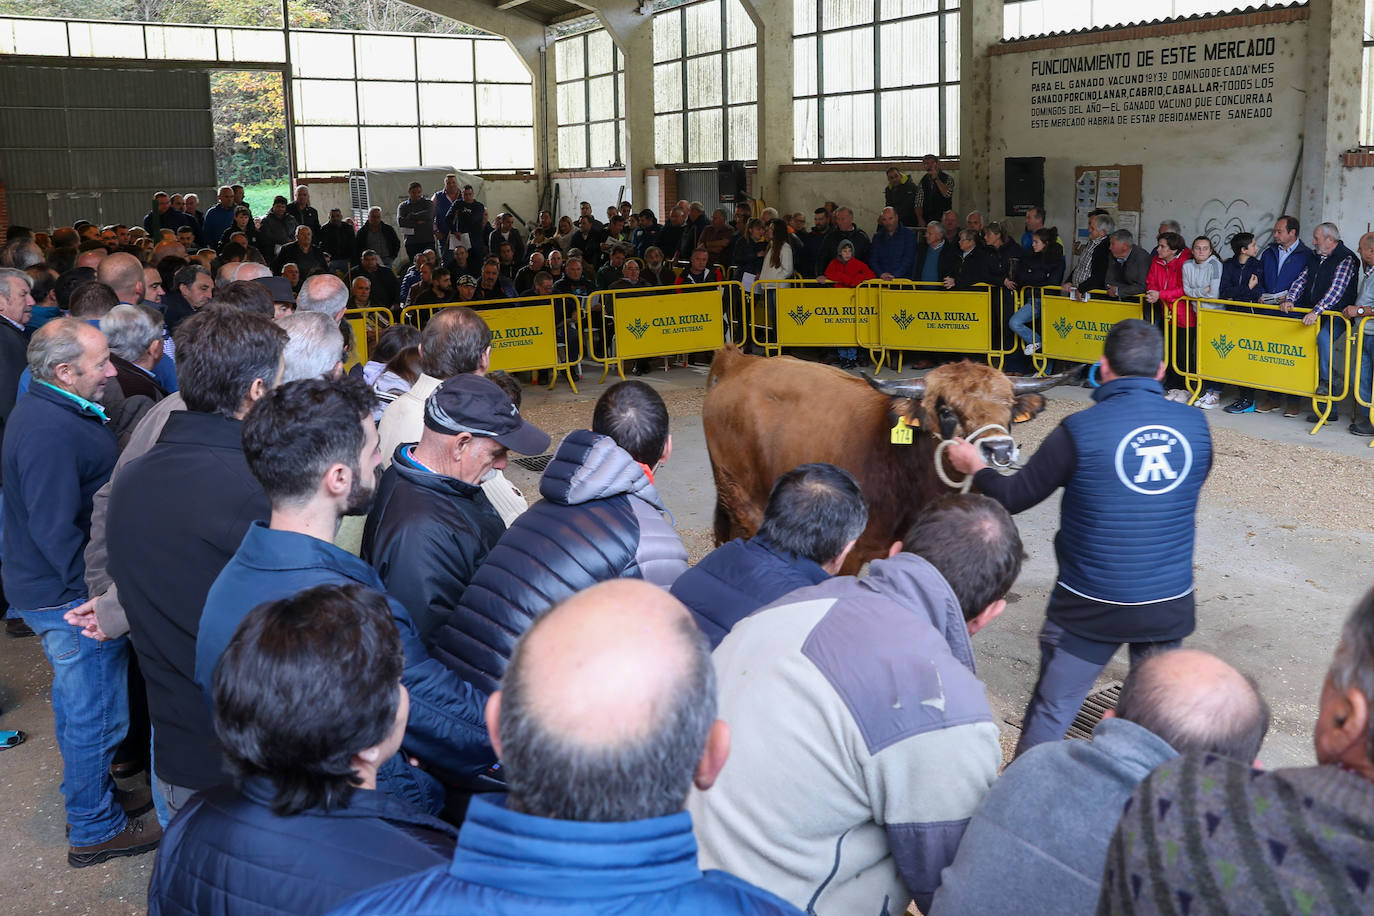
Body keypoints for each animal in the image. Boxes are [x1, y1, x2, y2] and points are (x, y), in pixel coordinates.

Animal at [703, 347, 1077, 576]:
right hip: (739, 493)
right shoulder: (848, 555)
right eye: (946, 410)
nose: (999, 449)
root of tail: (741, 361)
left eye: (1010, 408)